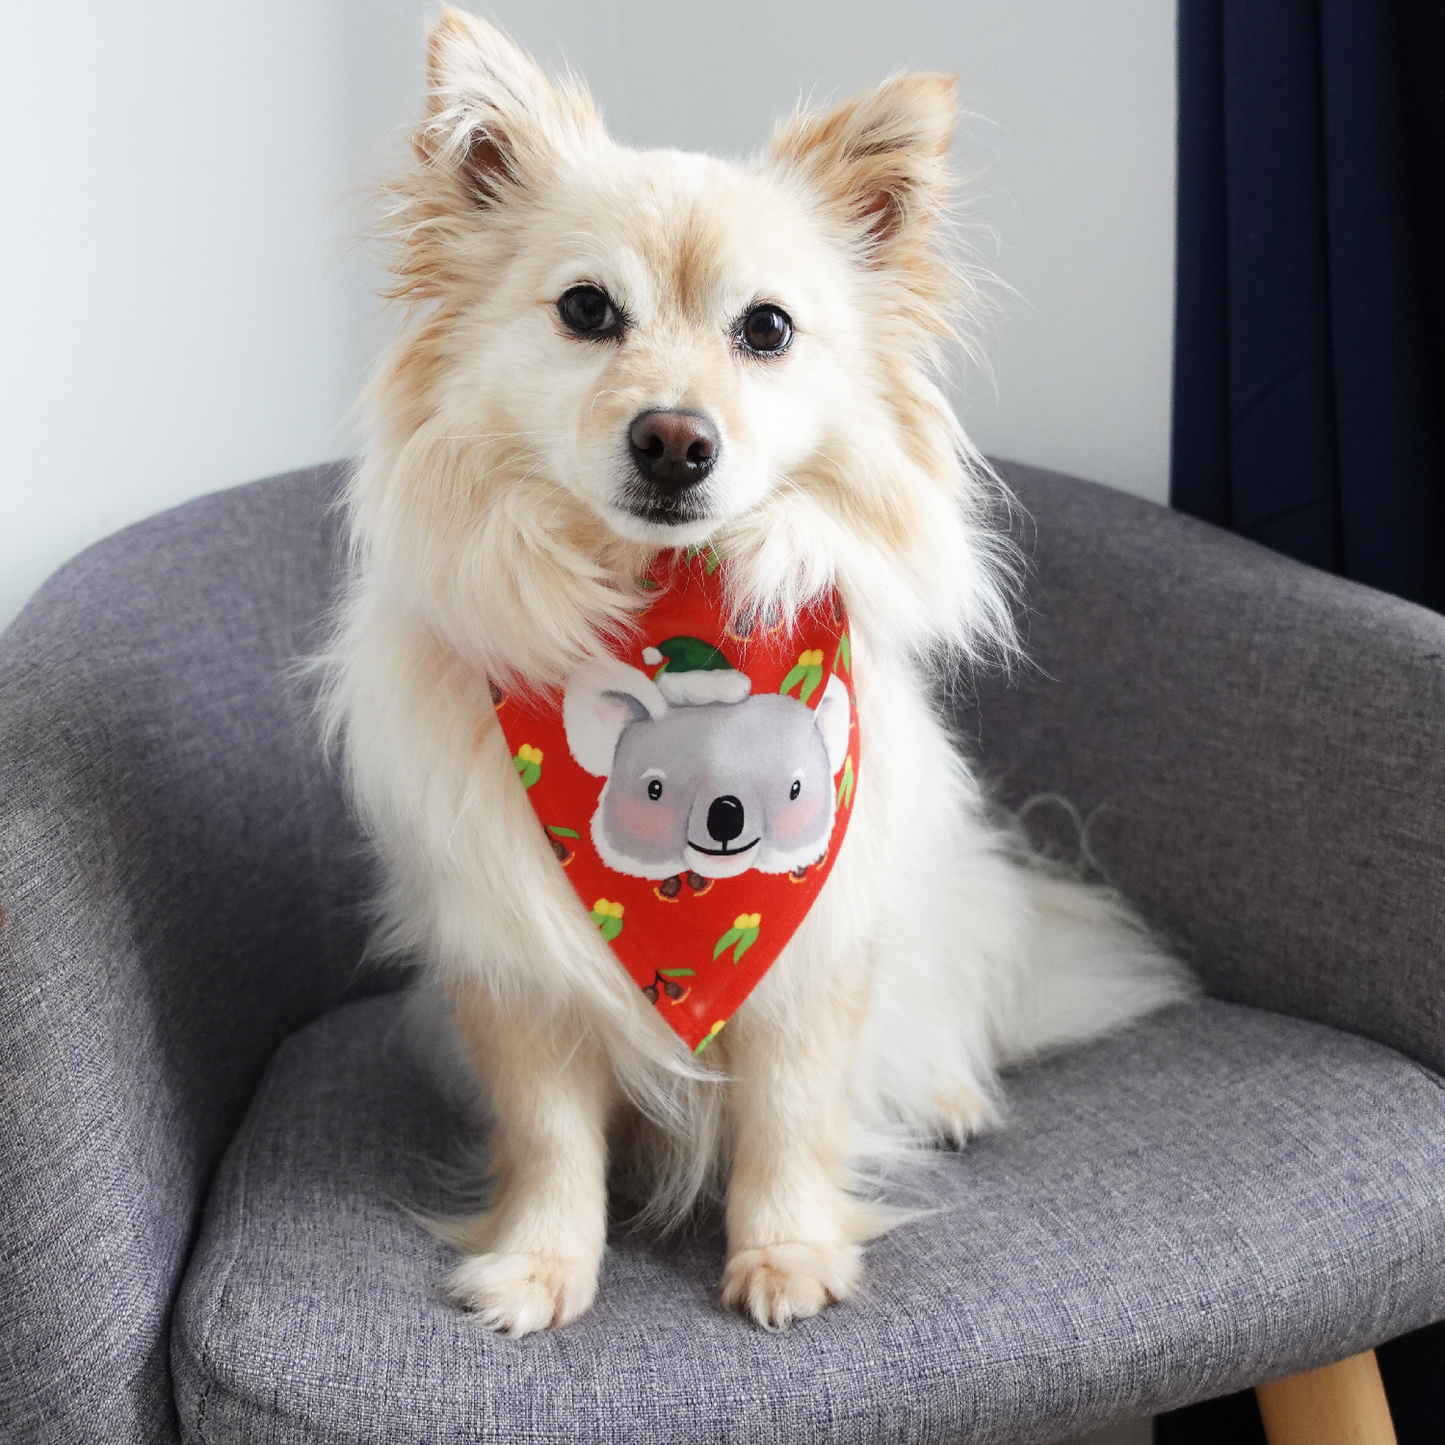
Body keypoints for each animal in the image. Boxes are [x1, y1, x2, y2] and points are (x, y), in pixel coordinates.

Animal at [322, 11, 1190, 1335]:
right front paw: (539, 1263)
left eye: (766, 330)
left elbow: (789, 1119)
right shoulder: (516, 971)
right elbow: (549, 1138)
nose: (674, 438)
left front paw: (787, 1253)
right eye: (586, 309)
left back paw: (947, 1094)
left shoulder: (813, 961)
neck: (674, 633)